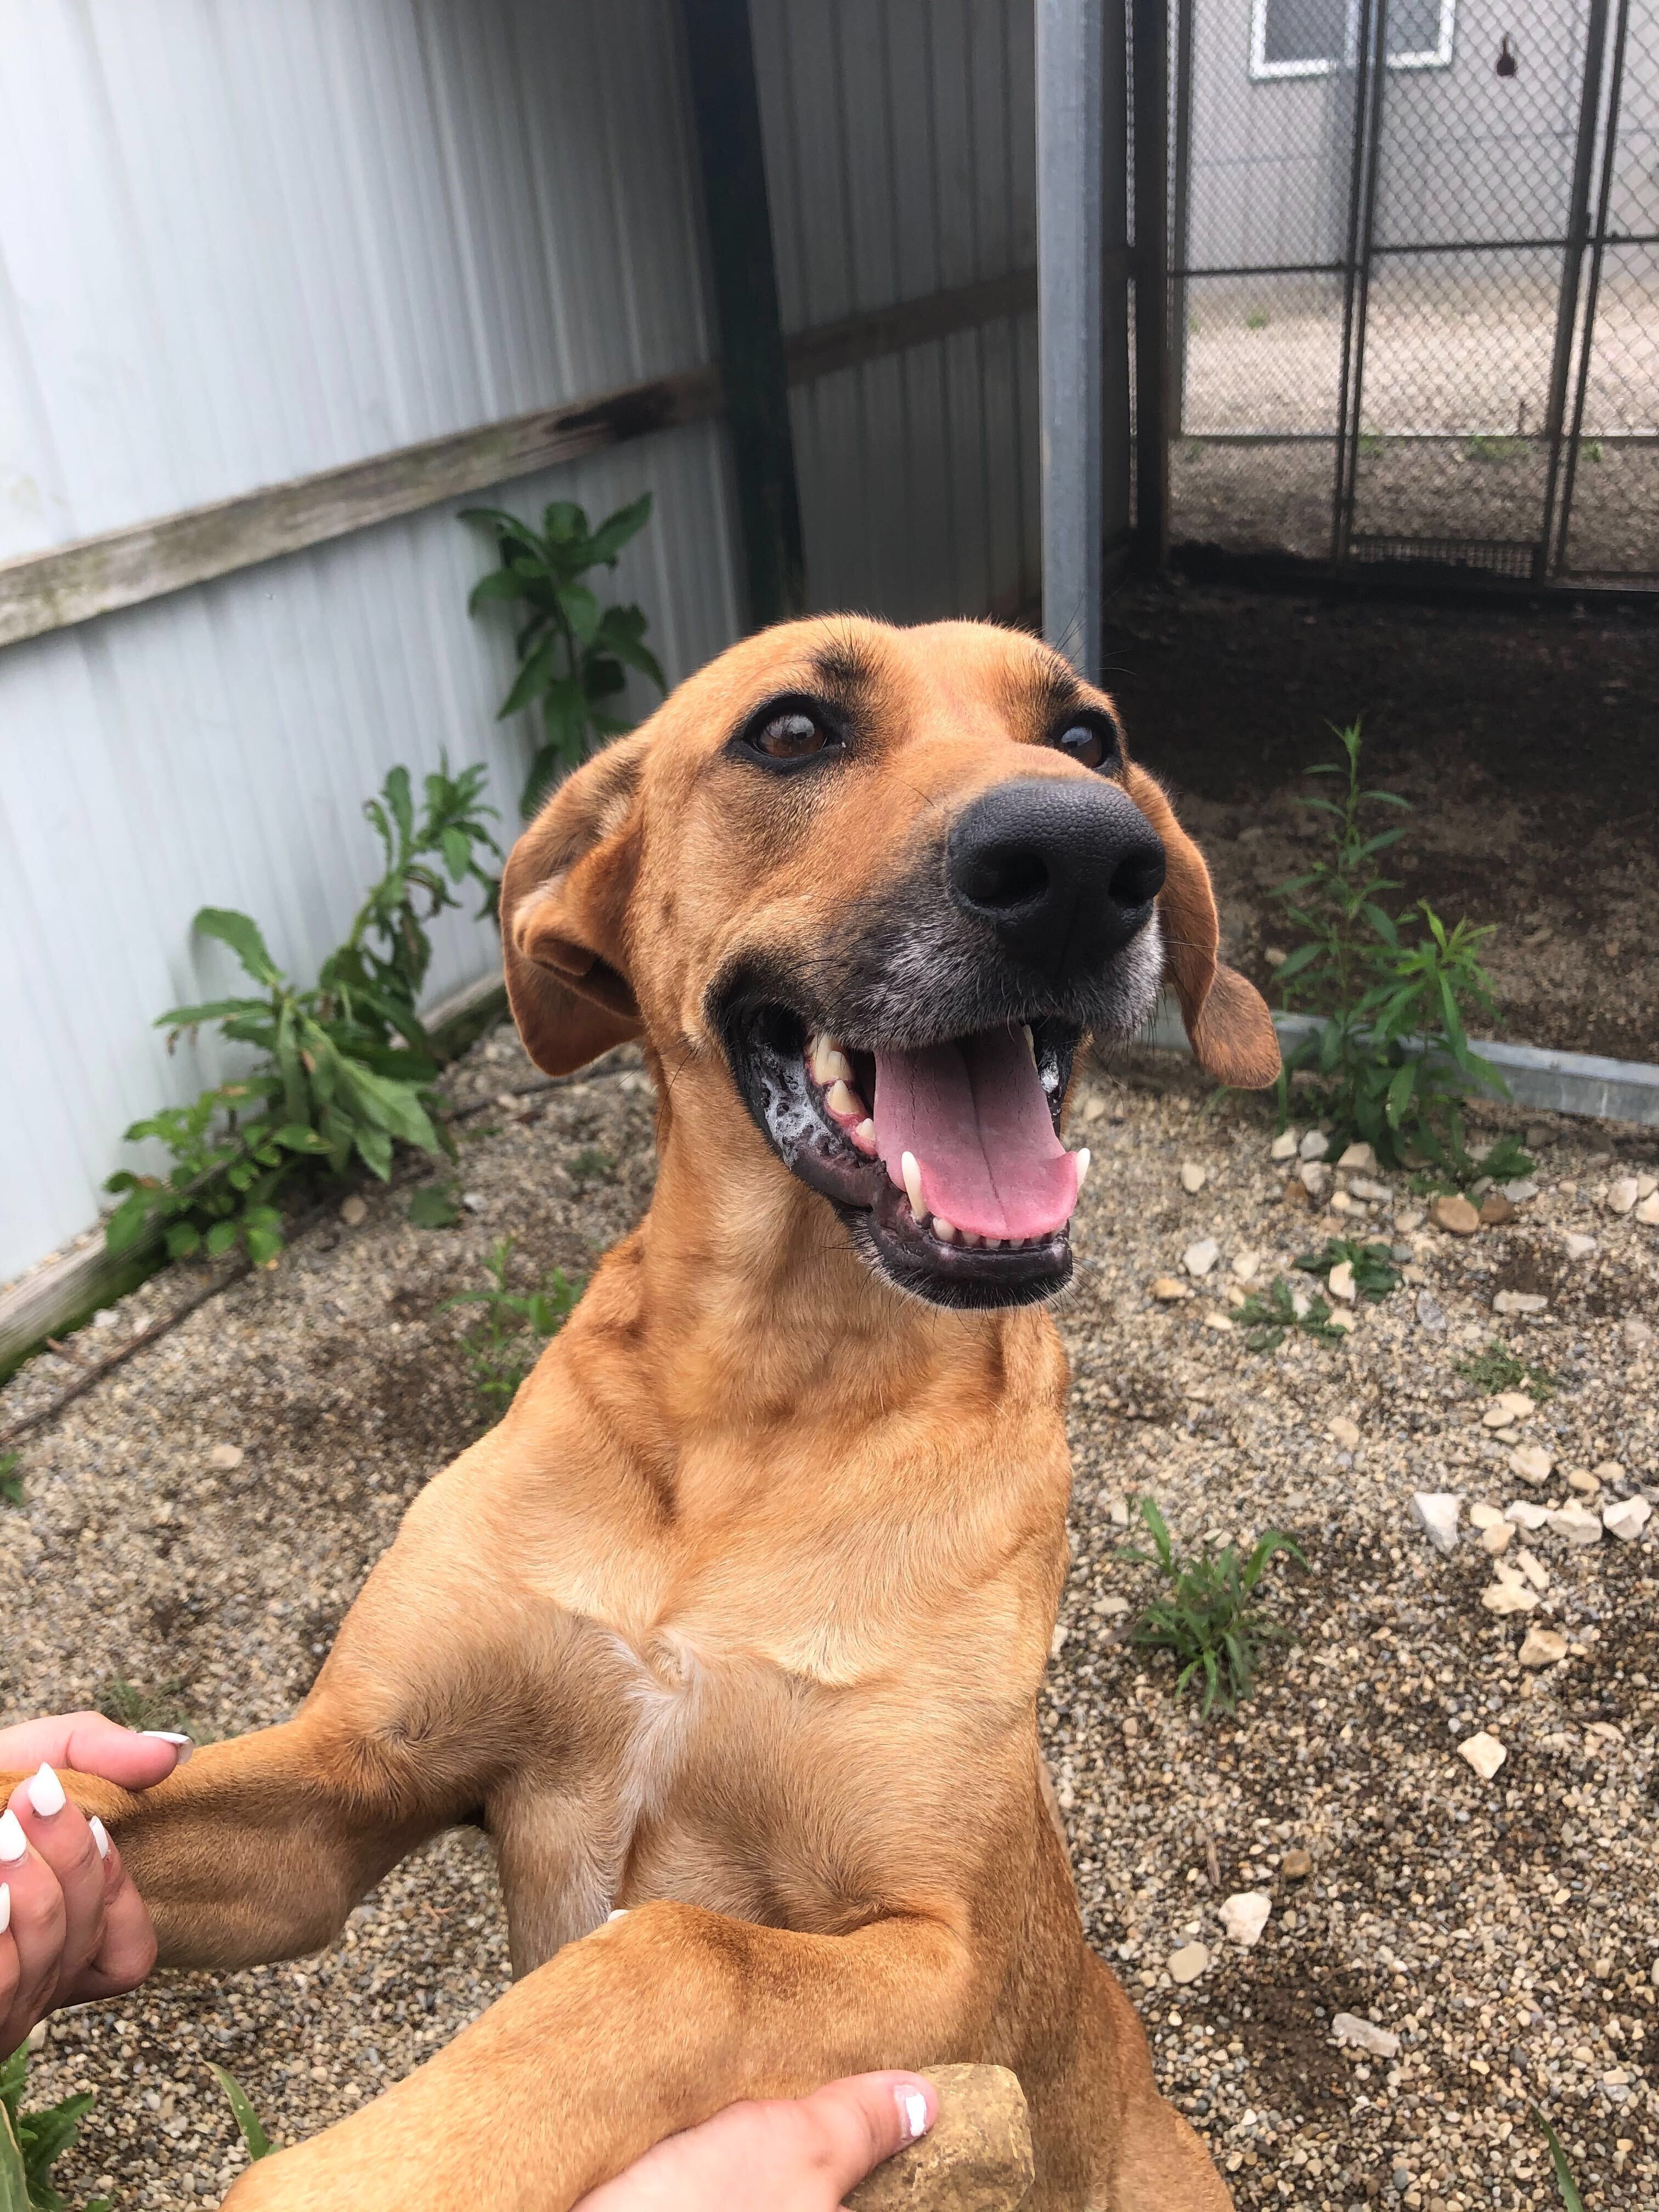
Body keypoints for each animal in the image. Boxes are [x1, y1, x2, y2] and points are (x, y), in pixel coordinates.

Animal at [32, 619, 1283, 2212]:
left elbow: (676, 1959)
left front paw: (367, 2175)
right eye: (793, 730)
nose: (1081, 859)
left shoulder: (948, 1959)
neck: (767, 1397)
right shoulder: (345, 1790)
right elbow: (91, 1797)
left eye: (1086, 739)